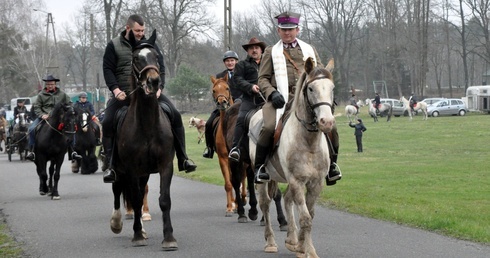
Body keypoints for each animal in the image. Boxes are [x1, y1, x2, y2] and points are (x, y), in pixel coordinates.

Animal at [109, 29, 176, 250]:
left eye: (155, 56)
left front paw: (169, 238)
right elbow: (136, 199)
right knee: (117, 190)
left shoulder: (165, 164)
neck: (147, 125)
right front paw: (137, 235)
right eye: (136, 58)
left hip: (144, 172)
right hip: (119, 170)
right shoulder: (130, 169)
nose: (153, 81)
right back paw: (117, 223)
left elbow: (164, 199)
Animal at [249, 57, 336, 256]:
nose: (327, 122)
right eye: (311, 89)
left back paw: (292, 239)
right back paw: (271, 242)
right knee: (265, 204)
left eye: (332, 88)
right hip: (263, 179)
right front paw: (308, 251)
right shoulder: (297, 181)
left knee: (287, 199)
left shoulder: (315, 183)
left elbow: (309, 214)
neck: (309, 142)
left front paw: (303, 247)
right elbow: (305, 218)